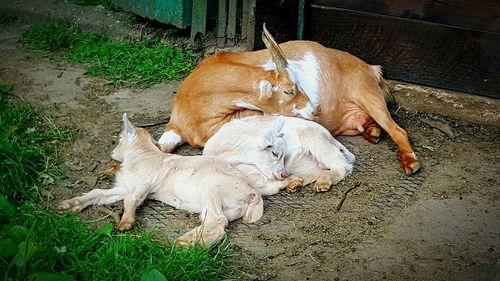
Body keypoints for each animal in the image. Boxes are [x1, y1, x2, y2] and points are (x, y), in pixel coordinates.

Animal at [57, 114, 296, 245]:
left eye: (119, 138)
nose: (113, 153)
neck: (142, 156)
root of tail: (253, 195)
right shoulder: (123, 187)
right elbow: (97, 194)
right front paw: (68, 205)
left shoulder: (142, 185)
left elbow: (130, 201)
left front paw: (126, 223)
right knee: (213, 222)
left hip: (212, 189)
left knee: (218, 222)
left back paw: (184, 243)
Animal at [159, 25, 418, 174]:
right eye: (288, 90)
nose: (314, 110)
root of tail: (371, 69)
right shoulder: (173, 129)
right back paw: (372, 133)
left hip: (367, 93)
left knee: (398, 130)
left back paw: (410, 163)